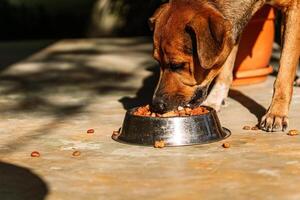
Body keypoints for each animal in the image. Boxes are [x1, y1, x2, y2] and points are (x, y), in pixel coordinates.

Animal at [150, 0, 300, 132]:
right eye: (157, 61)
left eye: (177, 65)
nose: (156, 105)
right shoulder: (232, 29)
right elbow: (225, 65)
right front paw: (214, 99)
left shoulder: (293, 9)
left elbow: (284, 71)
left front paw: (276, 113)